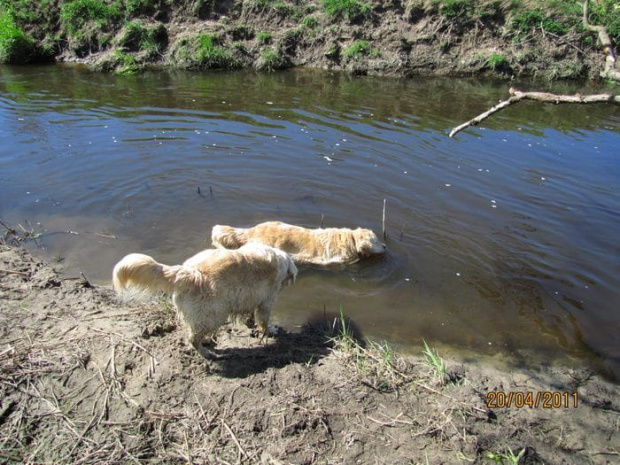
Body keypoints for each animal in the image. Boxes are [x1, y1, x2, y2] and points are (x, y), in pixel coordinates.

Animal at [113, 243, 298, 358]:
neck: (280, 259)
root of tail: (188, 273)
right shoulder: (266, 301)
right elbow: (264, 321)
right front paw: (271, 330)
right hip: (213, 314)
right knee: (193, 338)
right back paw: (206, 352)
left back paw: (207, 342)